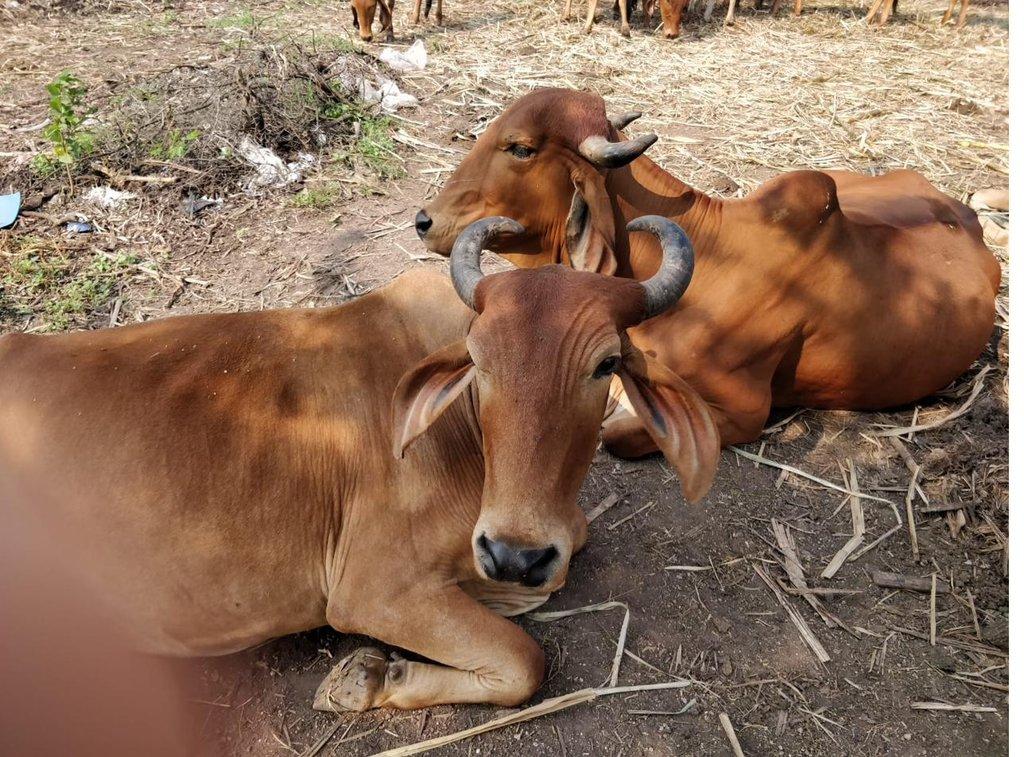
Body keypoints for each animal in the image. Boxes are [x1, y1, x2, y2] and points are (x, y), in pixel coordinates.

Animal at [0, 216, 719, 712]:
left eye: (606, 363)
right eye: (477, 359)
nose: (514, 553)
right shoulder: (373, 590)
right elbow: (523, 661)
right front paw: (366, 678)